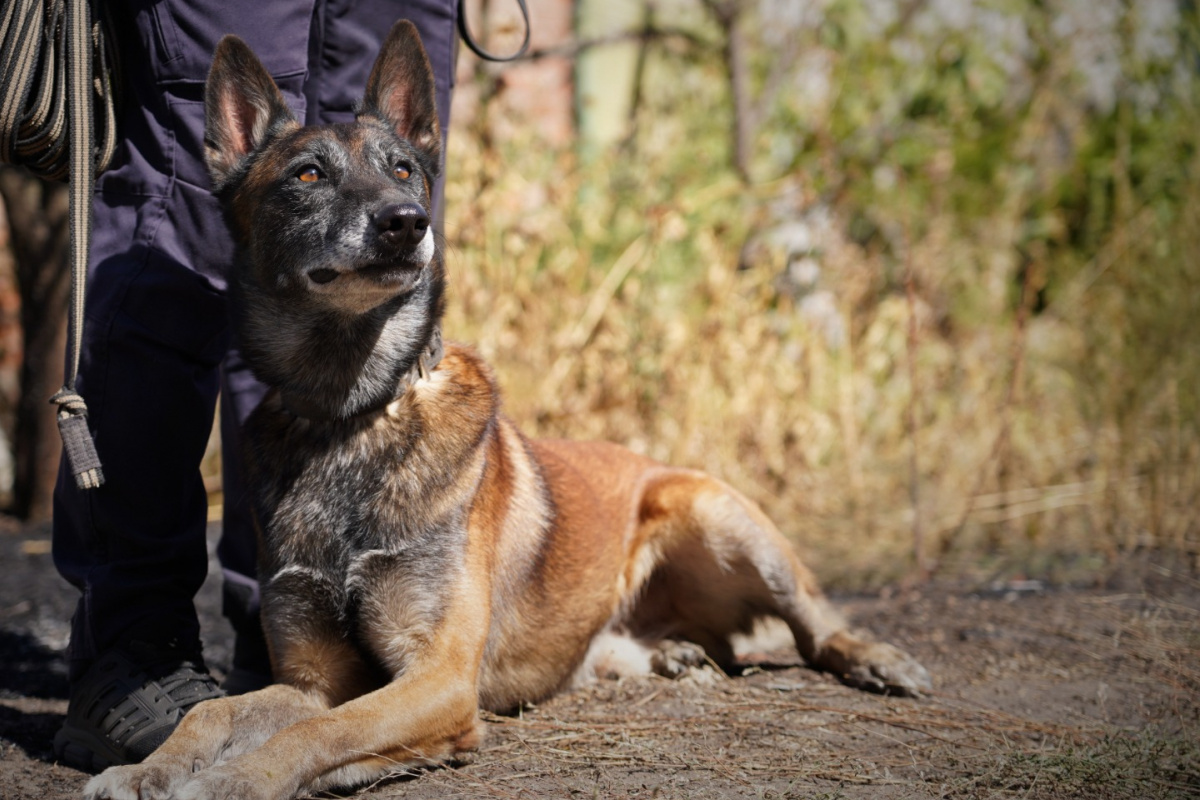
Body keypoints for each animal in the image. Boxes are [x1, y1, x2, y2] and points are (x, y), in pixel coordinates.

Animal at [84, 20, 931, 800]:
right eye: (308, 173)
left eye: (403, 170)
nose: (405, 222)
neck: (355, 412)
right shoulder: (313, 680)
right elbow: (215, 713)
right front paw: (146, 769)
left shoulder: (437, 681)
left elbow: (319, 733)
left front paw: (237, 780)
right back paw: (672, 654)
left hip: (720, 514)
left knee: (816, 621)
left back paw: (878, 659)